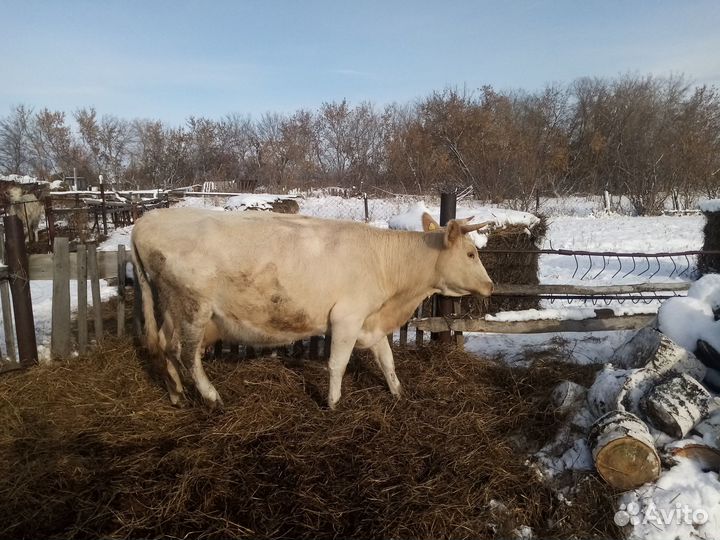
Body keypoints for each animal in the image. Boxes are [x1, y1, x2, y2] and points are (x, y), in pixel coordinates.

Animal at [131, 208, 493, 410]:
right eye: (471, 253)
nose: (491, 285)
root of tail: (146, 220)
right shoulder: (347, 318)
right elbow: (337, 365)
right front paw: (332, 403)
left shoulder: (370, 320)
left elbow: (387, 360)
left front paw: (398, 393)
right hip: (194, 307)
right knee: (187, 354)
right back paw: (210, 396)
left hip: (172, 308)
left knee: (165, 345)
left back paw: (176, 393)